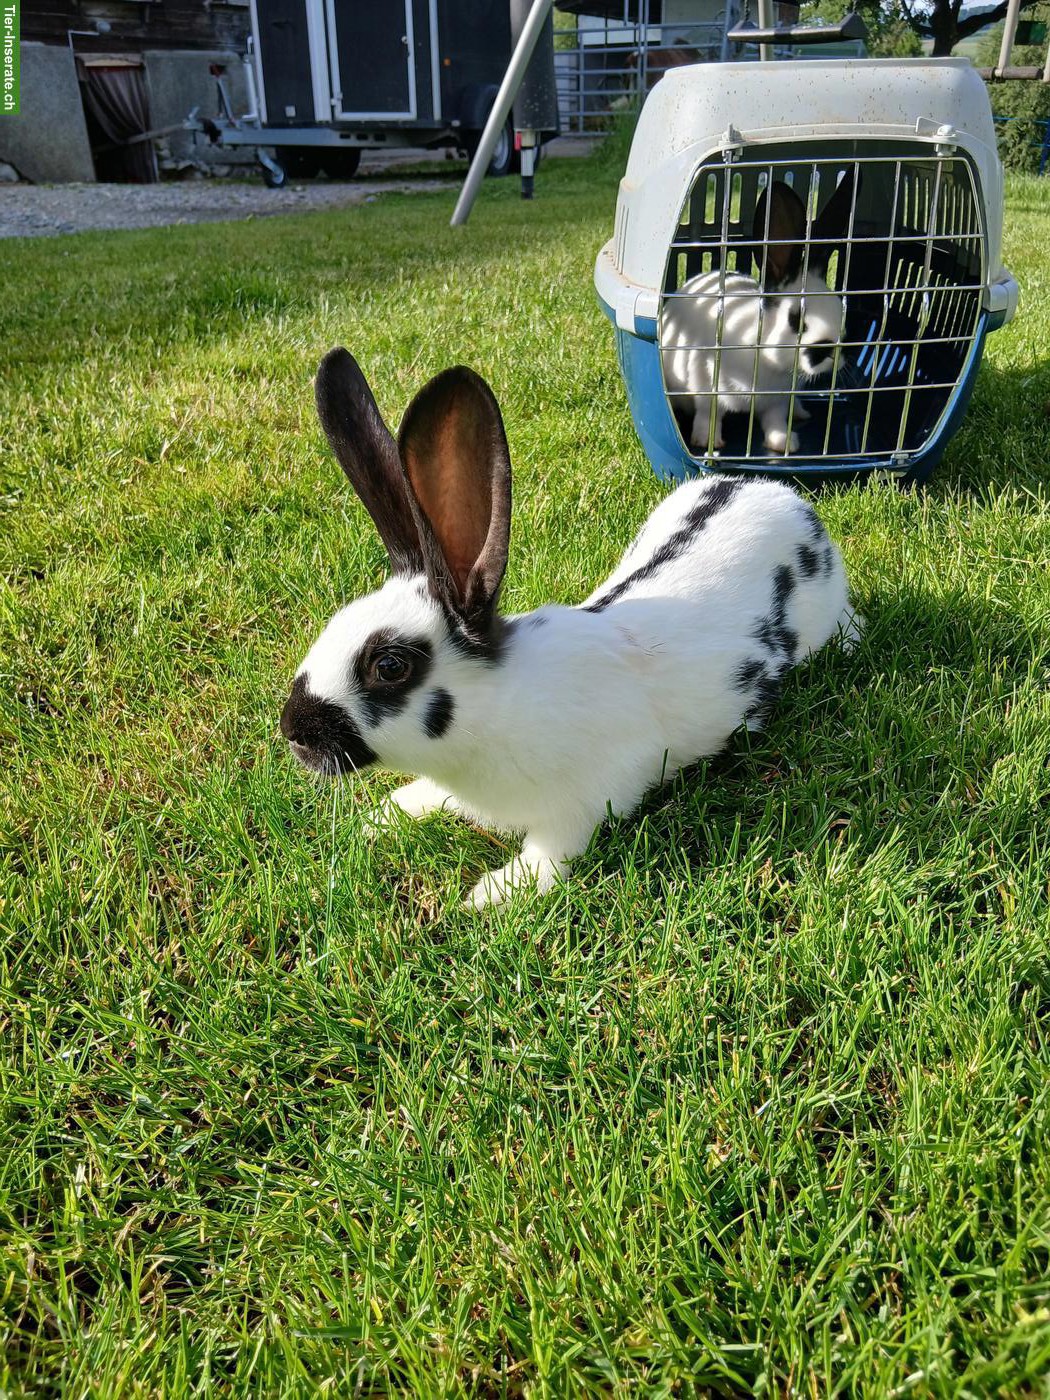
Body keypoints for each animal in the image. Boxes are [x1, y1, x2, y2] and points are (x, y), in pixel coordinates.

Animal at [281, 348, 861, 908]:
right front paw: (381, 817)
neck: (498, 707)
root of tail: (783, 496)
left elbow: (552, 851)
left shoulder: (590, 795)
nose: (292, 733)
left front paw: (492, 893)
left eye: (390, 665)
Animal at [661, 170, 858, 457]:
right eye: (796, 320)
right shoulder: (707, 389)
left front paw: (784, 444)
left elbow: (774, 421)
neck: (769, 362)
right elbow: (709, 416)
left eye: (840, 314)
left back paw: (801, 413)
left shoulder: (776, 403)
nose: (832, 354)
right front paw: (707, 443)